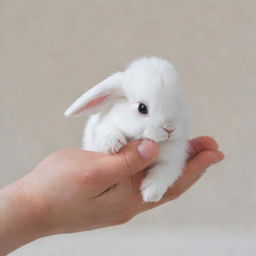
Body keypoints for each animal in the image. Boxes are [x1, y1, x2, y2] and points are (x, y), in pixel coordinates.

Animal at [64, 57, 190, 202]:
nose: (169, 128)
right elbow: (107, 131)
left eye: (179, 103)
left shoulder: (175, 160)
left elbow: (166, 171)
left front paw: (151, 194)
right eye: (142, 108)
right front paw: (113, 143)